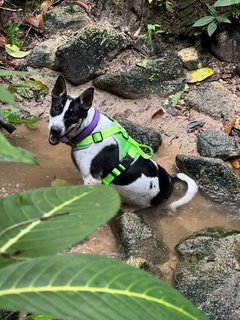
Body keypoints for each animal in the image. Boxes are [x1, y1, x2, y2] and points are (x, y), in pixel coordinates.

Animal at [47, 75, 198, 210]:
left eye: (73, 115)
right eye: (56, 108)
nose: (55, 130)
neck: (90, 130)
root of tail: (169, 180)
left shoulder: (92, 180)